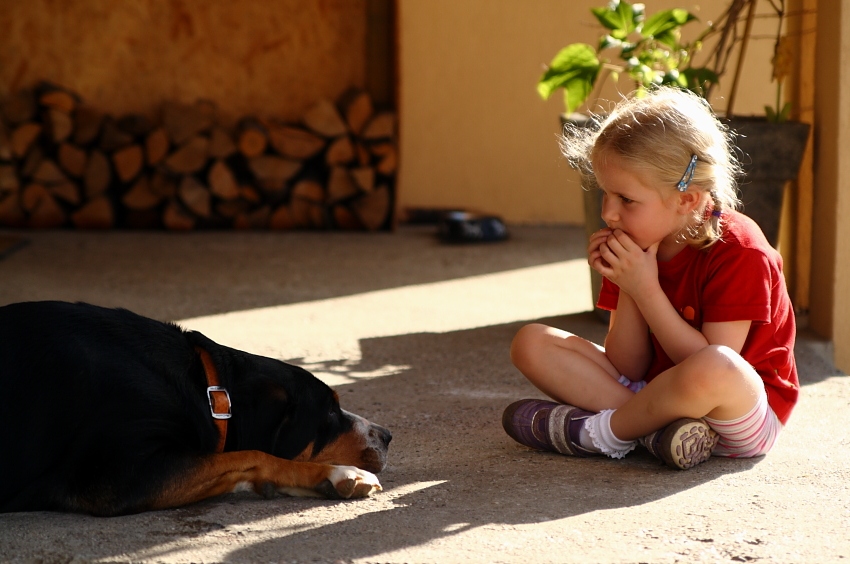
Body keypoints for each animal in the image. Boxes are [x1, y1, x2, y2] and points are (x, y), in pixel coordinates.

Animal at [0, 302, 390, 512]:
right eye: (329, 412)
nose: (387, 435)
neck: (207, 388)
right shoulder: (122, 475)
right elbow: (254, 454)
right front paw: (336, 473)